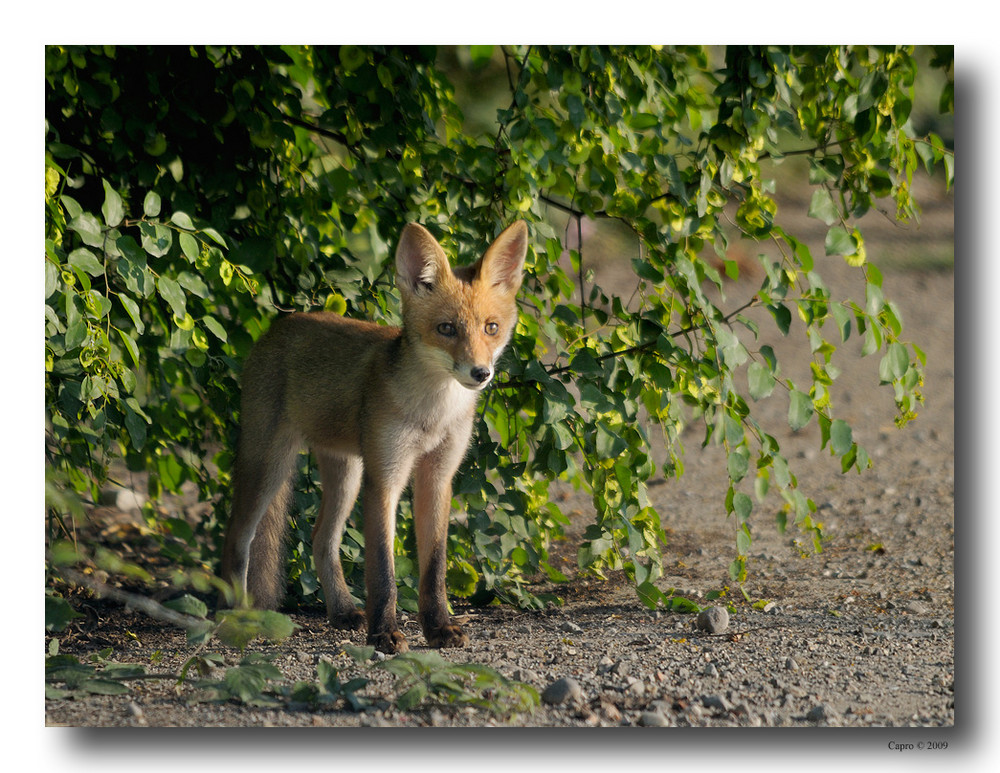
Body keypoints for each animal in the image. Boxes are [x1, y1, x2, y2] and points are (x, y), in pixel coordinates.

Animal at [220, 220, 528, 654]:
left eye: (491, 328)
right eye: (446, 329)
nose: (480, 373)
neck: (432, 413)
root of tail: (278, 325)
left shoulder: (437, 477)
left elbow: (434, 569)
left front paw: (438, 628)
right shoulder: (385, 476)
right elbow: (382, 569)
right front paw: (384, 634)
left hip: (345, 474)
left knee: (321, 539)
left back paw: (343, 611)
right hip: (270, 467)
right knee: (236, 540)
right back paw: (238, 618)